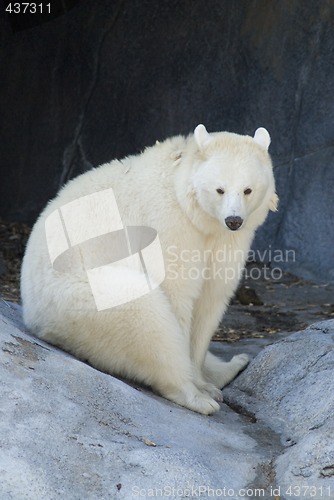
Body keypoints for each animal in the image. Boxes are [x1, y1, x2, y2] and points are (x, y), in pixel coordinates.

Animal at [20, 124, 276, 414]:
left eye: (248, 190)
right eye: (219, 189)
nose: (234, 220)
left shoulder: (226, 240)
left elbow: (211, 299)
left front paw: (205, 380)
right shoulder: (168, 223)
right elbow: (176, 293)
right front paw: (199, 387)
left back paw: (234, 365)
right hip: (75, 300)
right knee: (145, 314)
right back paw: (196, 397)